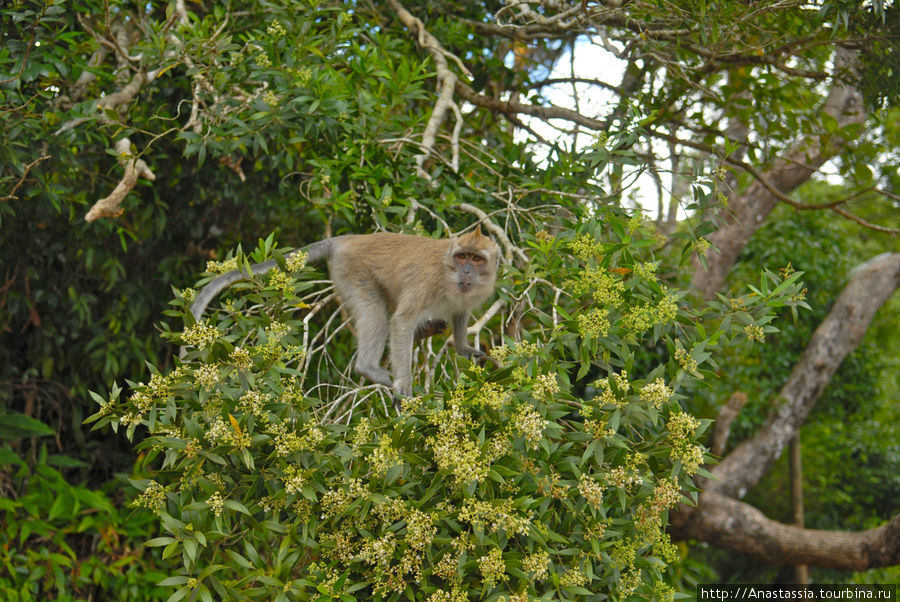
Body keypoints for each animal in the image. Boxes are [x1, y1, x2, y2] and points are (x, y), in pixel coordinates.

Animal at [191, 225, 502, 394]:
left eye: (476, 259)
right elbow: (401, 321)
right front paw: (403, 385)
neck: (451, 278)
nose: (465, 271)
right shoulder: (430, 282)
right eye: (462, 256)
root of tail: (349, 239)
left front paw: (462, 347)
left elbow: (459, 315)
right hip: (351, 271)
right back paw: (369, 368)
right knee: (377, 314)